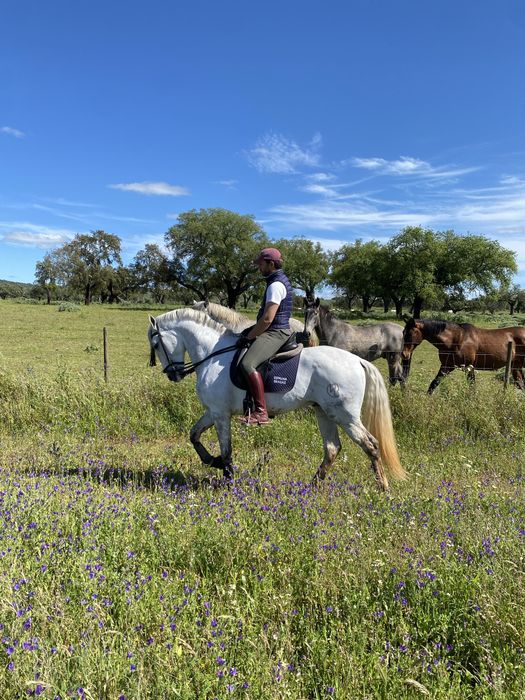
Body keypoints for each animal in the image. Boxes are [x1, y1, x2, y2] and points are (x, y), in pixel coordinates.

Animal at [148, 308, 406, 491]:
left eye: (155, 344)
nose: (173, 374)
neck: (212, 354)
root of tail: (357, 361)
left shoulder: (220, 414)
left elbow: (226, 449)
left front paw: (228, 479)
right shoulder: (213, 411)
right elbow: (194, 435)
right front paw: (214, 462)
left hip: (345, 415)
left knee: (370, 445)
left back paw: (383, 488)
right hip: (324, 412)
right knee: (332, 448)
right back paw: (310, 487)